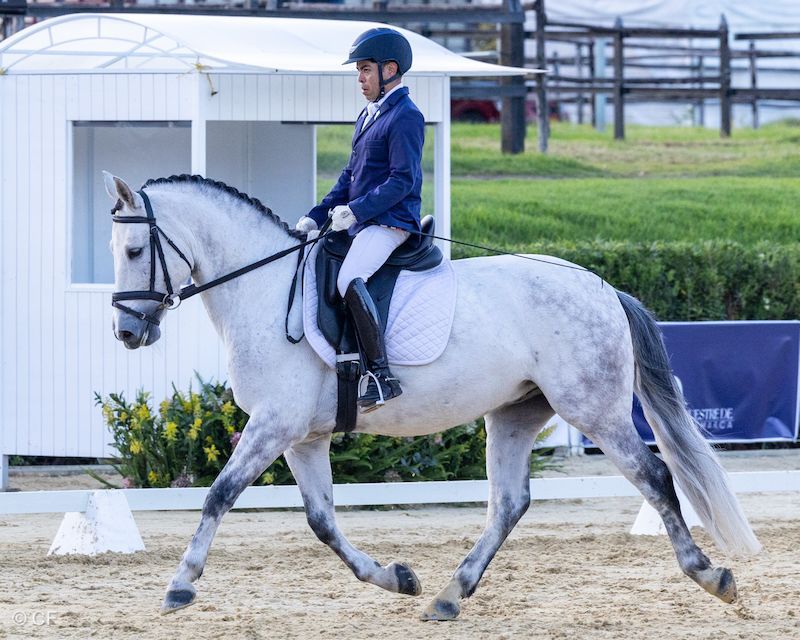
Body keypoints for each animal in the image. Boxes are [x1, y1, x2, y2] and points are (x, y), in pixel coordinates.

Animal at [103, 171, 761, 620]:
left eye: (135, 252)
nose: (128, 334)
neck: (264, 290)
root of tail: (603, 287)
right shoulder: (302, 436)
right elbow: (322, 521)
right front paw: (397, 577)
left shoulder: (274, 425)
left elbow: (218, 495)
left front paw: (180, 584)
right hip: (515, 414)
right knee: (509, 503)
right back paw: (448, 595)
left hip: (593, 410)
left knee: (654, 477)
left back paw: (711, 576)